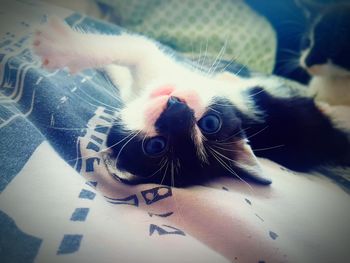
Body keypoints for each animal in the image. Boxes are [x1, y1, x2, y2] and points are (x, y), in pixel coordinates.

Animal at [32, 17, 350, 188]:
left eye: (156, 146)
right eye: (210, 124)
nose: (177, 108)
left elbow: (134, 47)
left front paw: (61, 47)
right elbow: (127, 64)